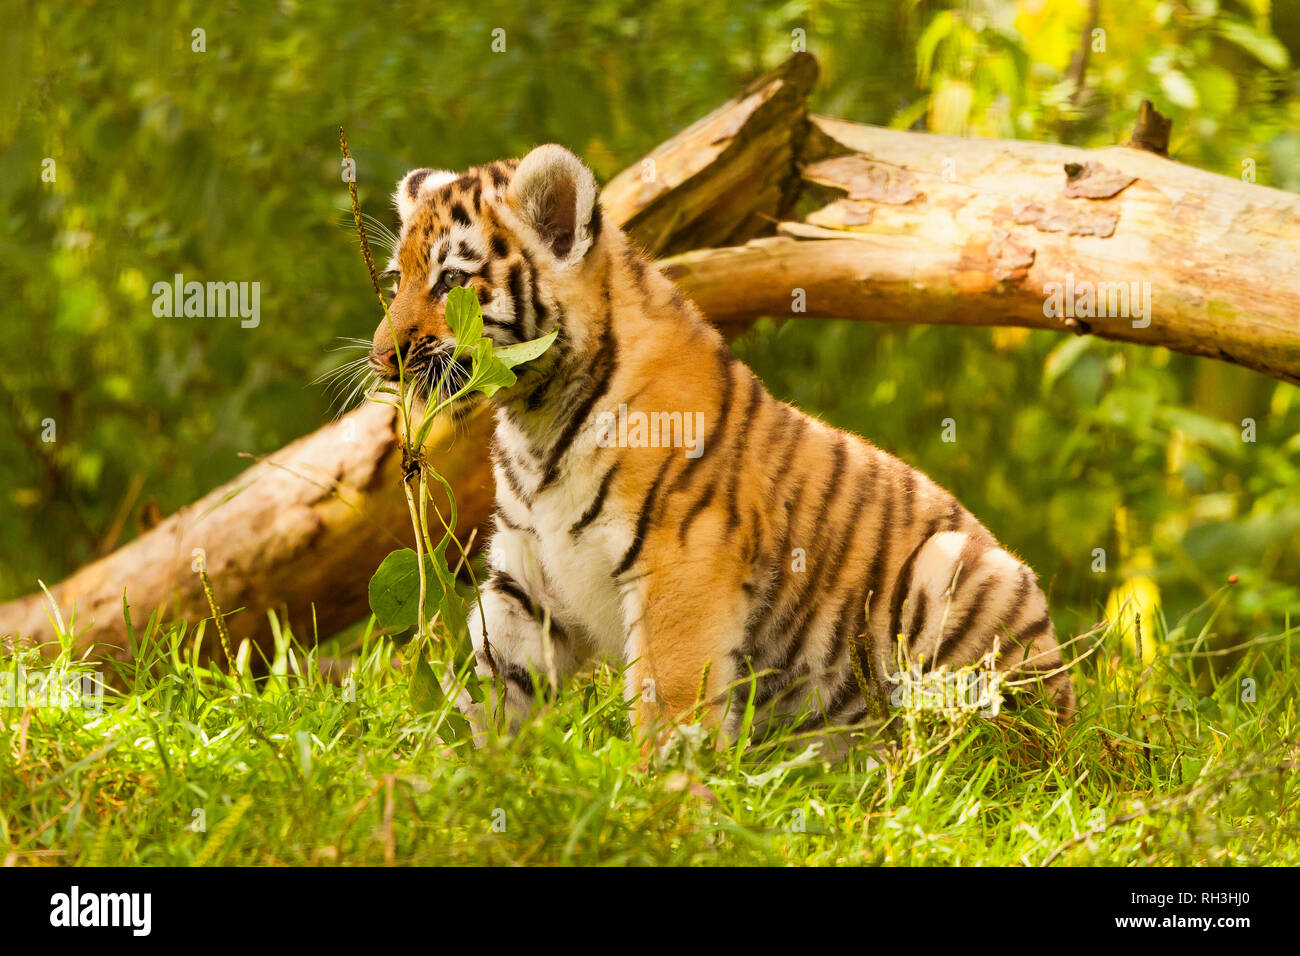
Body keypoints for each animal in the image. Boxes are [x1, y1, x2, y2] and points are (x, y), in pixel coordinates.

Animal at [368, 144, 1075, 749]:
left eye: (451, 281)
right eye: (397, 281)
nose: (380, 358)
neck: (535, 418)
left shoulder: (682, 562)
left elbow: (669, 694)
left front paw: (661, 794)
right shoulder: (525, 577)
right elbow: (486, 684)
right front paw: (448, 772)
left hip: (959, 572)